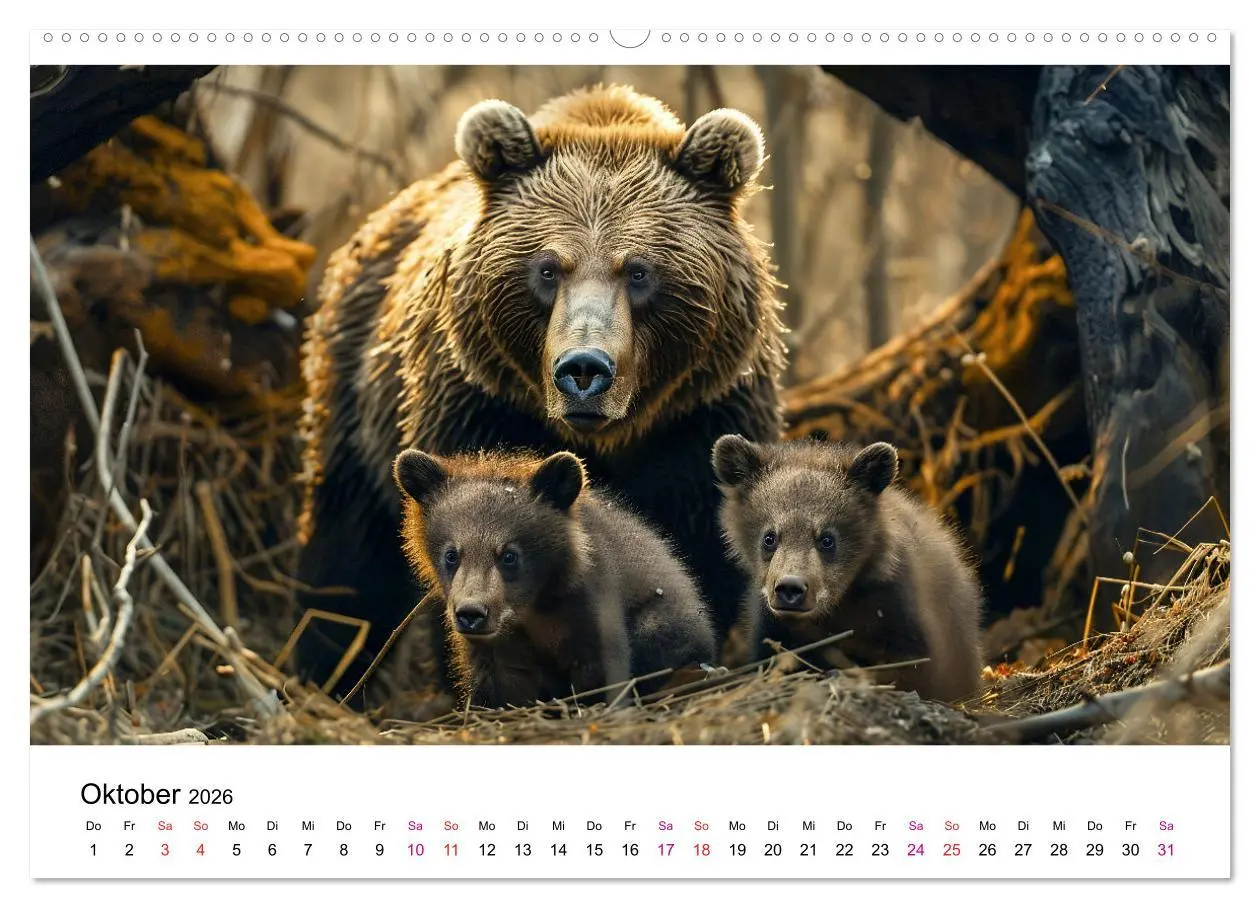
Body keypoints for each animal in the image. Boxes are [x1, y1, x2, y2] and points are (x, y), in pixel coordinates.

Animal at [392, 448, 715, 708]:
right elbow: (500, 689)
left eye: (509, 555)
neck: (532, 608)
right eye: (451, 554)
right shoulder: (501, 649)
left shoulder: (588, 613)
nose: (471, 614)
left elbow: (599, 671)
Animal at [711, 434, 984, 703]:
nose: (790, 588)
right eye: (769, 537)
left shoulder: (899, 612)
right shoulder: (772, 625)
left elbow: (913, 666)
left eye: (827, 539)